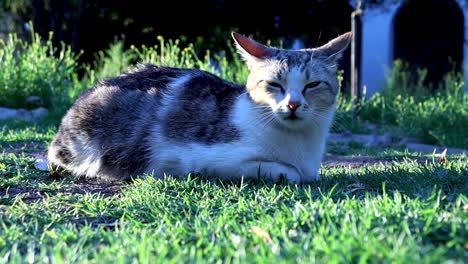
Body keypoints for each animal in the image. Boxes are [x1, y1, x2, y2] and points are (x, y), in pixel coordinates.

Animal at [47, 31, 352, 184]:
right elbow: (288, 172)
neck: (297, 143)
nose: (293, 104)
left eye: (312, 85)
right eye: (275, 84)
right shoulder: (208, 159)